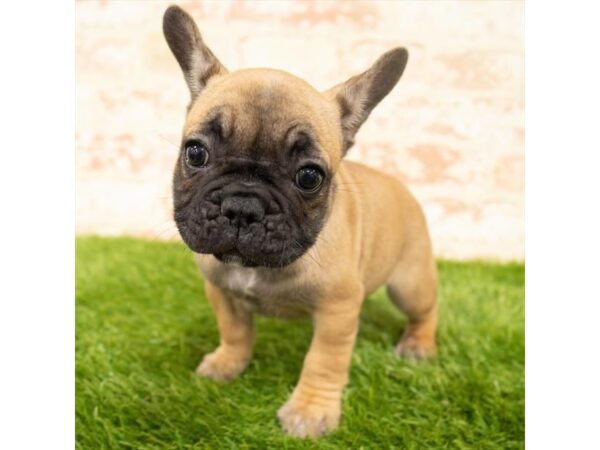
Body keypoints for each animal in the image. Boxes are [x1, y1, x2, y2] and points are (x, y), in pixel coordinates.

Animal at [162, 5, 438, 438]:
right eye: (195, 153)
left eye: (309, 177)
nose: (243, 206)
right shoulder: (220, 289)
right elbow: (235, 331)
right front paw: (227, 363)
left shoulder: (337, 311)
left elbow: (323, 361)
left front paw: (310, 411)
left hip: (410, 283)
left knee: (426, 308)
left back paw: (419, 344)